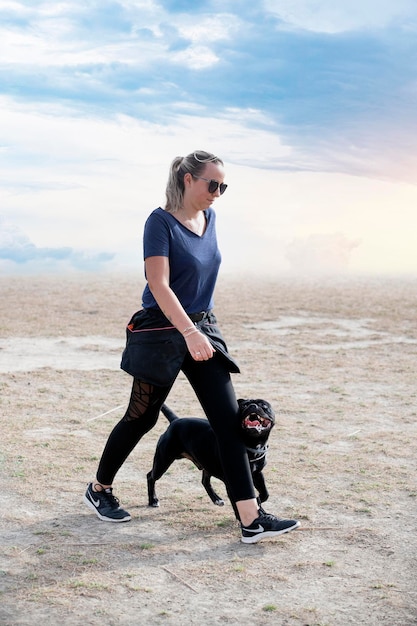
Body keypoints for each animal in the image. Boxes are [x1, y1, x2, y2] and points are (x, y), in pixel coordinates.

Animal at [145, 398, 274, 520]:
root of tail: (175, 420)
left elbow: (265, 493)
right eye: (244, 405)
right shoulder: (233, 483)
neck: (252, 446)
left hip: (207, 463)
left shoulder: (257, 474)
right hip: (162, 461)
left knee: (205, 481)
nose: (252, 406)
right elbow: (237, 503)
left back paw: (216, 499)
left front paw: (261, 507)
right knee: (150, 476)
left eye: (264, 405)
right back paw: (153, 500)